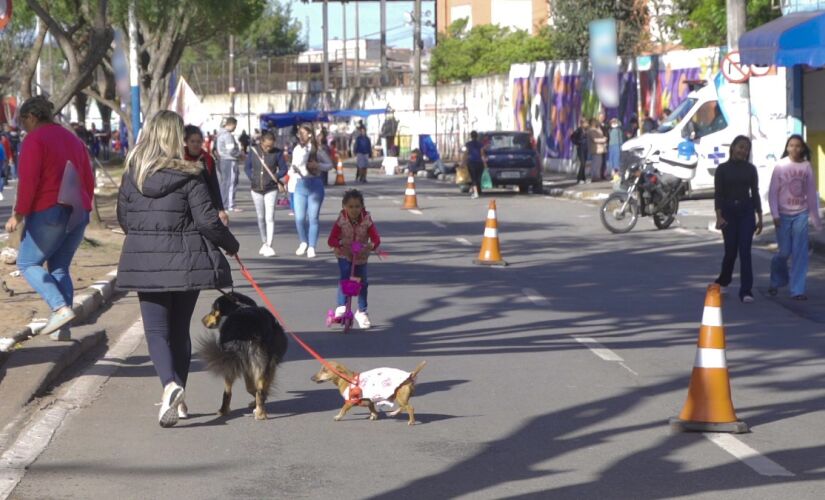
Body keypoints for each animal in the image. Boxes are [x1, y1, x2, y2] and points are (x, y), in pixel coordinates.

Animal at [198, 292, 288, 420]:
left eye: (213, 310)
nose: (202, 320)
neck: (237, 306)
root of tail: (249, 330)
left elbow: (250, 387)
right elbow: (255, 387)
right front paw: (259, 401)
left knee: (229, 391)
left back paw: (224, 411)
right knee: (258, 390)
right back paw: (260, 413)